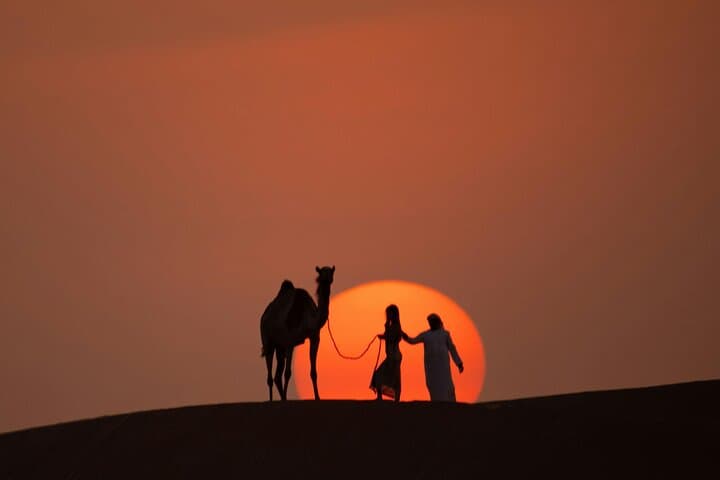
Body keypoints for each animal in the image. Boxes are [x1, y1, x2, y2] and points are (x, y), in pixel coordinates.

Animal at [260, 265, 335, 401]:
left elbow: (313, 372)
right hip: (268, 341)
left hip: (280, 347)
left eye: (331, 274)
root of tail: (264, 316)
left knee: (277, 376)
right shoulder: (290, 342)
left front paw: (317, 397)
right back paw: (272, 400)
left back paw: (282, 398)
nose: (326, 281)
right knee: (270, 377)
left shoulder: (314, 338)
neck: (309, 318)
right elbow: (288, 373)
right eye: (320, 275)